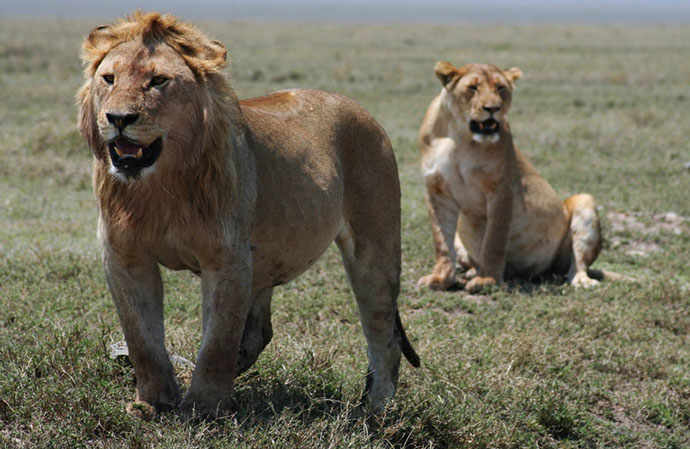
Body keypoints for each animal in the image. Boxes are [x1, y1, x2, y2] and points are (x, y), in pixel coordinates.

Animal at [77, 12, 419, 416]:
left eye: (158, 80)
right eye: (108, 78)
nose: (118, 117)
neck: (160, 187)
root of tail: (360, 109)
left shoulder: (227, 259)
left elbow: (216, 342)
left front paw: (204, 407)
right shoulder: (125, 257)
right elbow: (142, 337)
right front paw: (153, 403)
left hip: (374, 246)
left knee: (383, 332)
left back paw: (376, 407)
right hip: (265, 262)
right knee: (259, 331)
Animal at [417, 61, 611, 293]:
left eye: (501, 88)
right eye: (473, 87)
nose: (493, 109)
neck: (459, 135)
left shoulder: (501, 191)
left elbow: (494, 241)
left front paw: (487, 280)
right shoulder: (436, 191)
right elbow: (441, 242)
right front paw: (441, 279)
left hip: (583, 203)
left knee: (576, 264)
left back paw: (582, 280)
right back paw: (473, 271)